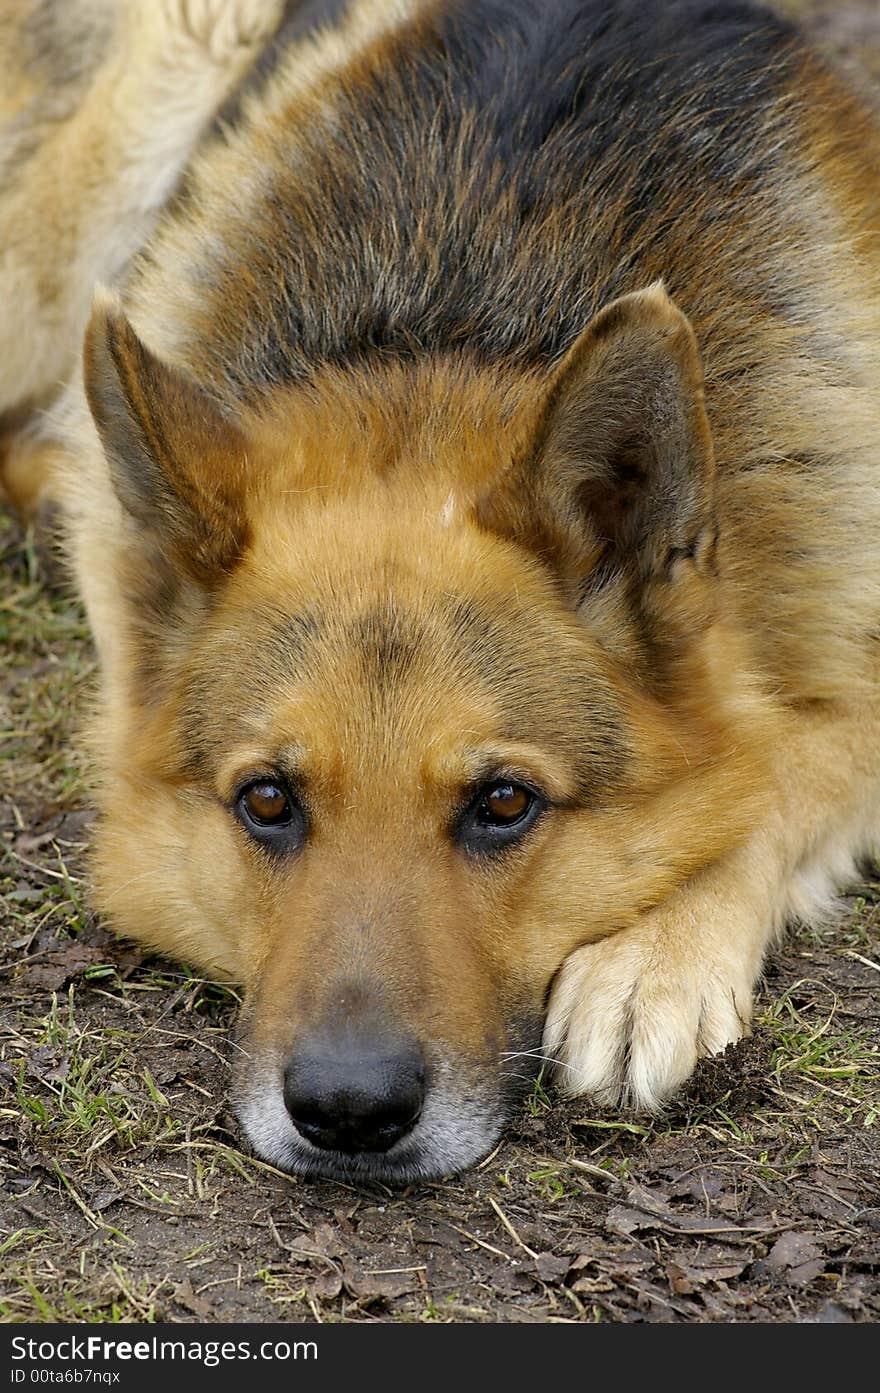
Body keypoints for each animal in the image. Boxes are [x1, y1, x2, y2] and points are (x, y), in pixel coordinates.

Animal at [1, 0, 880, 1181]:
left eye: (503, 803)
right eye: (266, 801)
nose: (348, 1112)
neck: (457, 324)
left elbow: (776, 767)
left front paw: (652, 957)